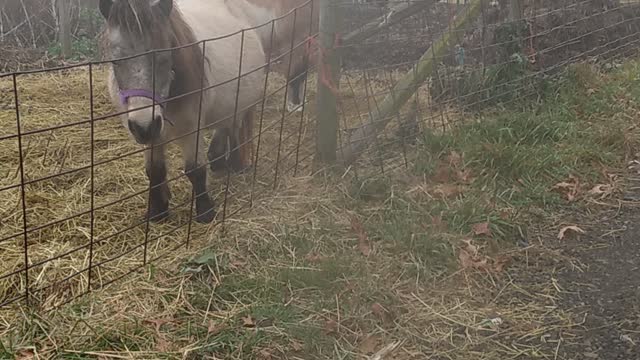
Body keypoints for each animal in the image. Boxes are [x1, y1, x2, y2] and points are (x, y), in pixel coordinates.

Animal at [99, 0, 268, 222]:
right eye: (115, 61)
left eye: (164, 57)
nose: (144, 126)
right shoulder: (152, 136)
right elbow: (155, 171)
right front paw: (157, 211)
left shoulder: (191, 128)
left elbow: (195, 169)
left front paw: (205, 212)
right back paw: (218, 160)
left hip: (240, 105)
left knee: (233, 128)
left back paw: (235, 163)